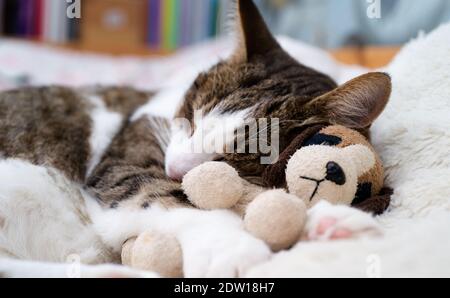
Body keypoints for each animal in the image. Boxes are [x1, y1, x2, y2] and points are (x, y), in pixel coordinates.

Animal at [0, 0, 390, 278]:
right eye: (190, 116)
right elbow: (162, 195)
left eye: (232, 158)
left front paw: (328, 223)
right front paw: (233, 248)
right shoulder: (123, 161)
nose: (174, 168)